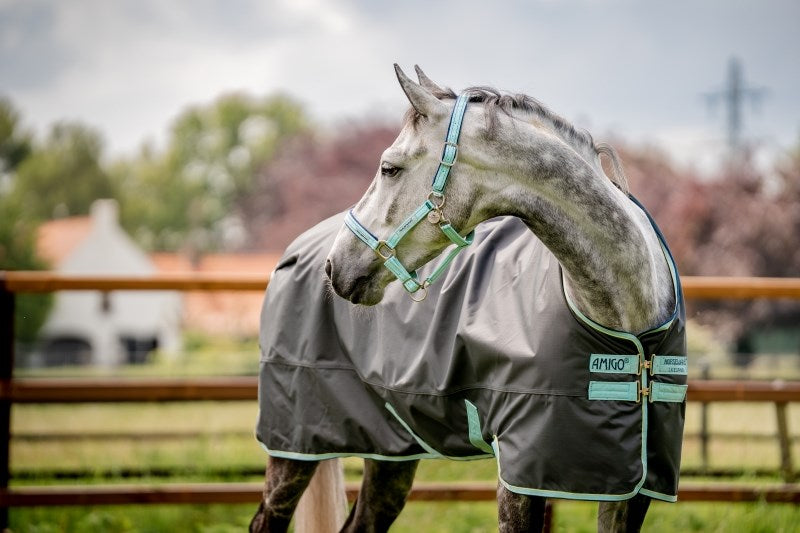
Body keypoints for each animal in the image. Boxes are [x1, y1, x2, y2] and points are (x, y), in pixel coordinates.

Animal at [252, 64, 688, 528]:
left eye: (389, 168)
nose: (337, 267)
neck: (627, 320)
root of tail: (297, 250)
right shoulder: (521, 475)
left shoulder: (629, 487)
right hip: (295, 445)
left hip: (391, 451)